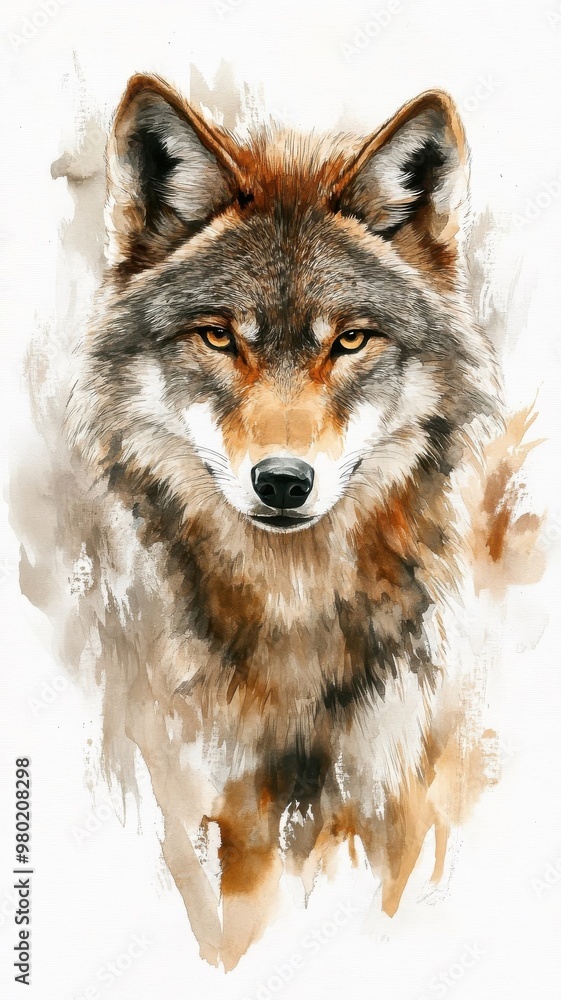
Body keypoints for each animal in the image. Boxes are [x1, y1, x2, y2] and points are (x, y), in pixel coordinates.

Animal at [20, 74, 541, 969]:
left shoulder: (395, 808)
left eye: (351, 340)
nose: (284, 482)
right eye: (219, 337)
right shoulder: (208, 817)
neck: (294, 632)